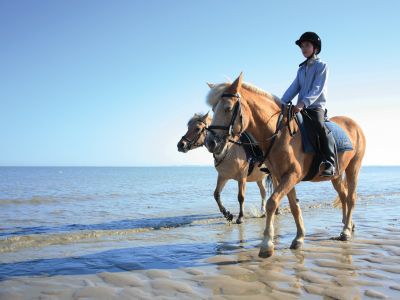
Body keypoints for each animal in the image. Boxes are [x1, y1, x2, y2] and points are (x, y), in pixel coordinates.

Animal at [206, 73, 366, 258]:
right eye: (213, 109)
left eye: (228, 108)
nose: (210, 142)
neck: (281, 134)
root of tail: (354, 124)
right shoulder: (282, 176)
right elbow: (294, 206)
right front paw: (299, 238)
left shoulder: (291, 175)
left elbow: (271, 202)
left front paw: (267, 245)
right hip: (336, 175)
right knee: (344, 196)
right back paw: (348, 224)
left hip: (354, 167)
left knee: (351, 197)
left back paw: (346, 231)